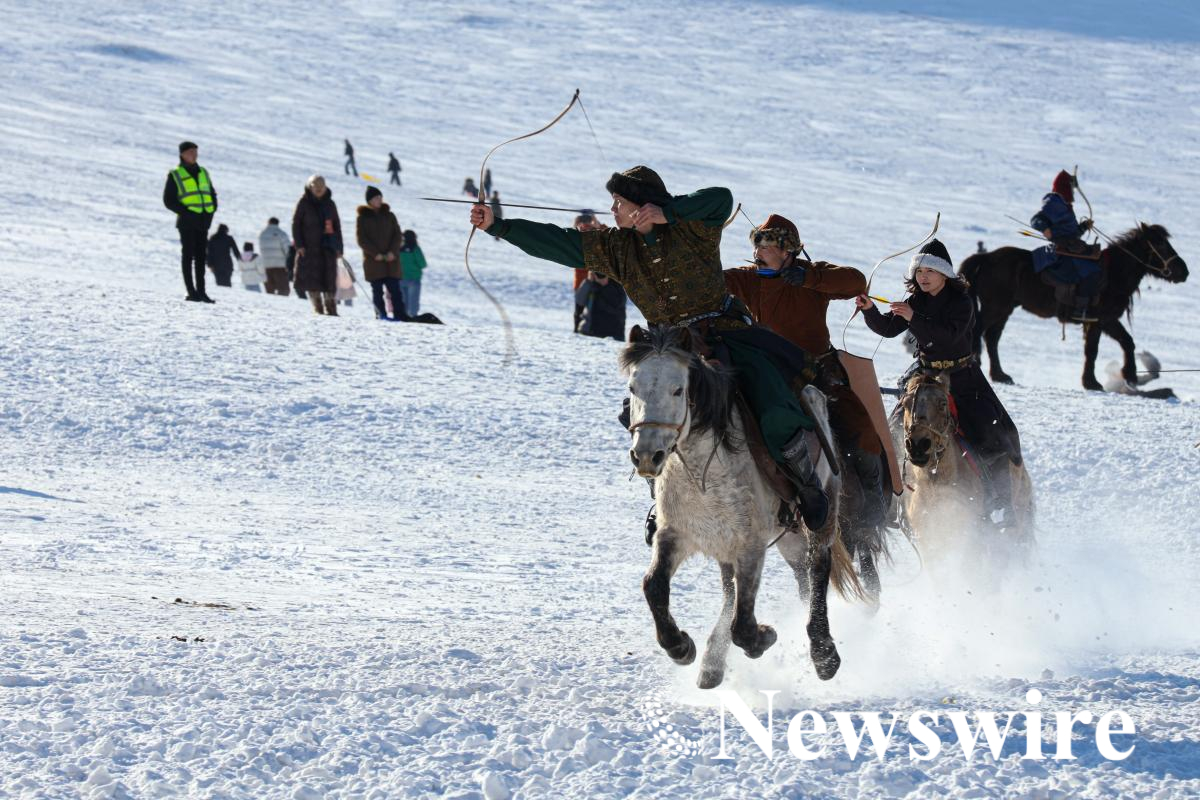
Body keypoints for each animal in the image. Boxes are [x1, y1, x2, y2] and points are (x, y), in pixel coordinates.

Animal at [621, 326, 862, 688]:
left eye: (678, 390)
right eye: (632, 389)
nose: (647, 455)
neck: (703, 472)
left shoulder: (751, 544)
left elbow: (743, 624)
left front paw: (763, 637)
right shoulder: (675, 534)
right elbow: (654, 586)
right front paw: (680, 646)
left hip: (822, 512)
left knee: (817, 568)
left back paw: (823, 654)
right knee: (766, 582)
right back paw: (712, 663)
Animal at [960, 224, 1188, 390]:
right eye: (1159, 245)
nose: (1183, 271)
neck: (1114, 274)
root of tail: (987, 257)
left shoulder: (1106, 320)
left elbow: (1127, 342)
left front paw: (1129, 375)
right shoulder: (1097, 321)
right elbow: (1092, 351)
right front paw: (1092, 383)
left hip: (1004, 309)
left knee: (992, 338)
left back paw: (1000, 375)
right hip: (996, 307)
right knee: (979, 332)